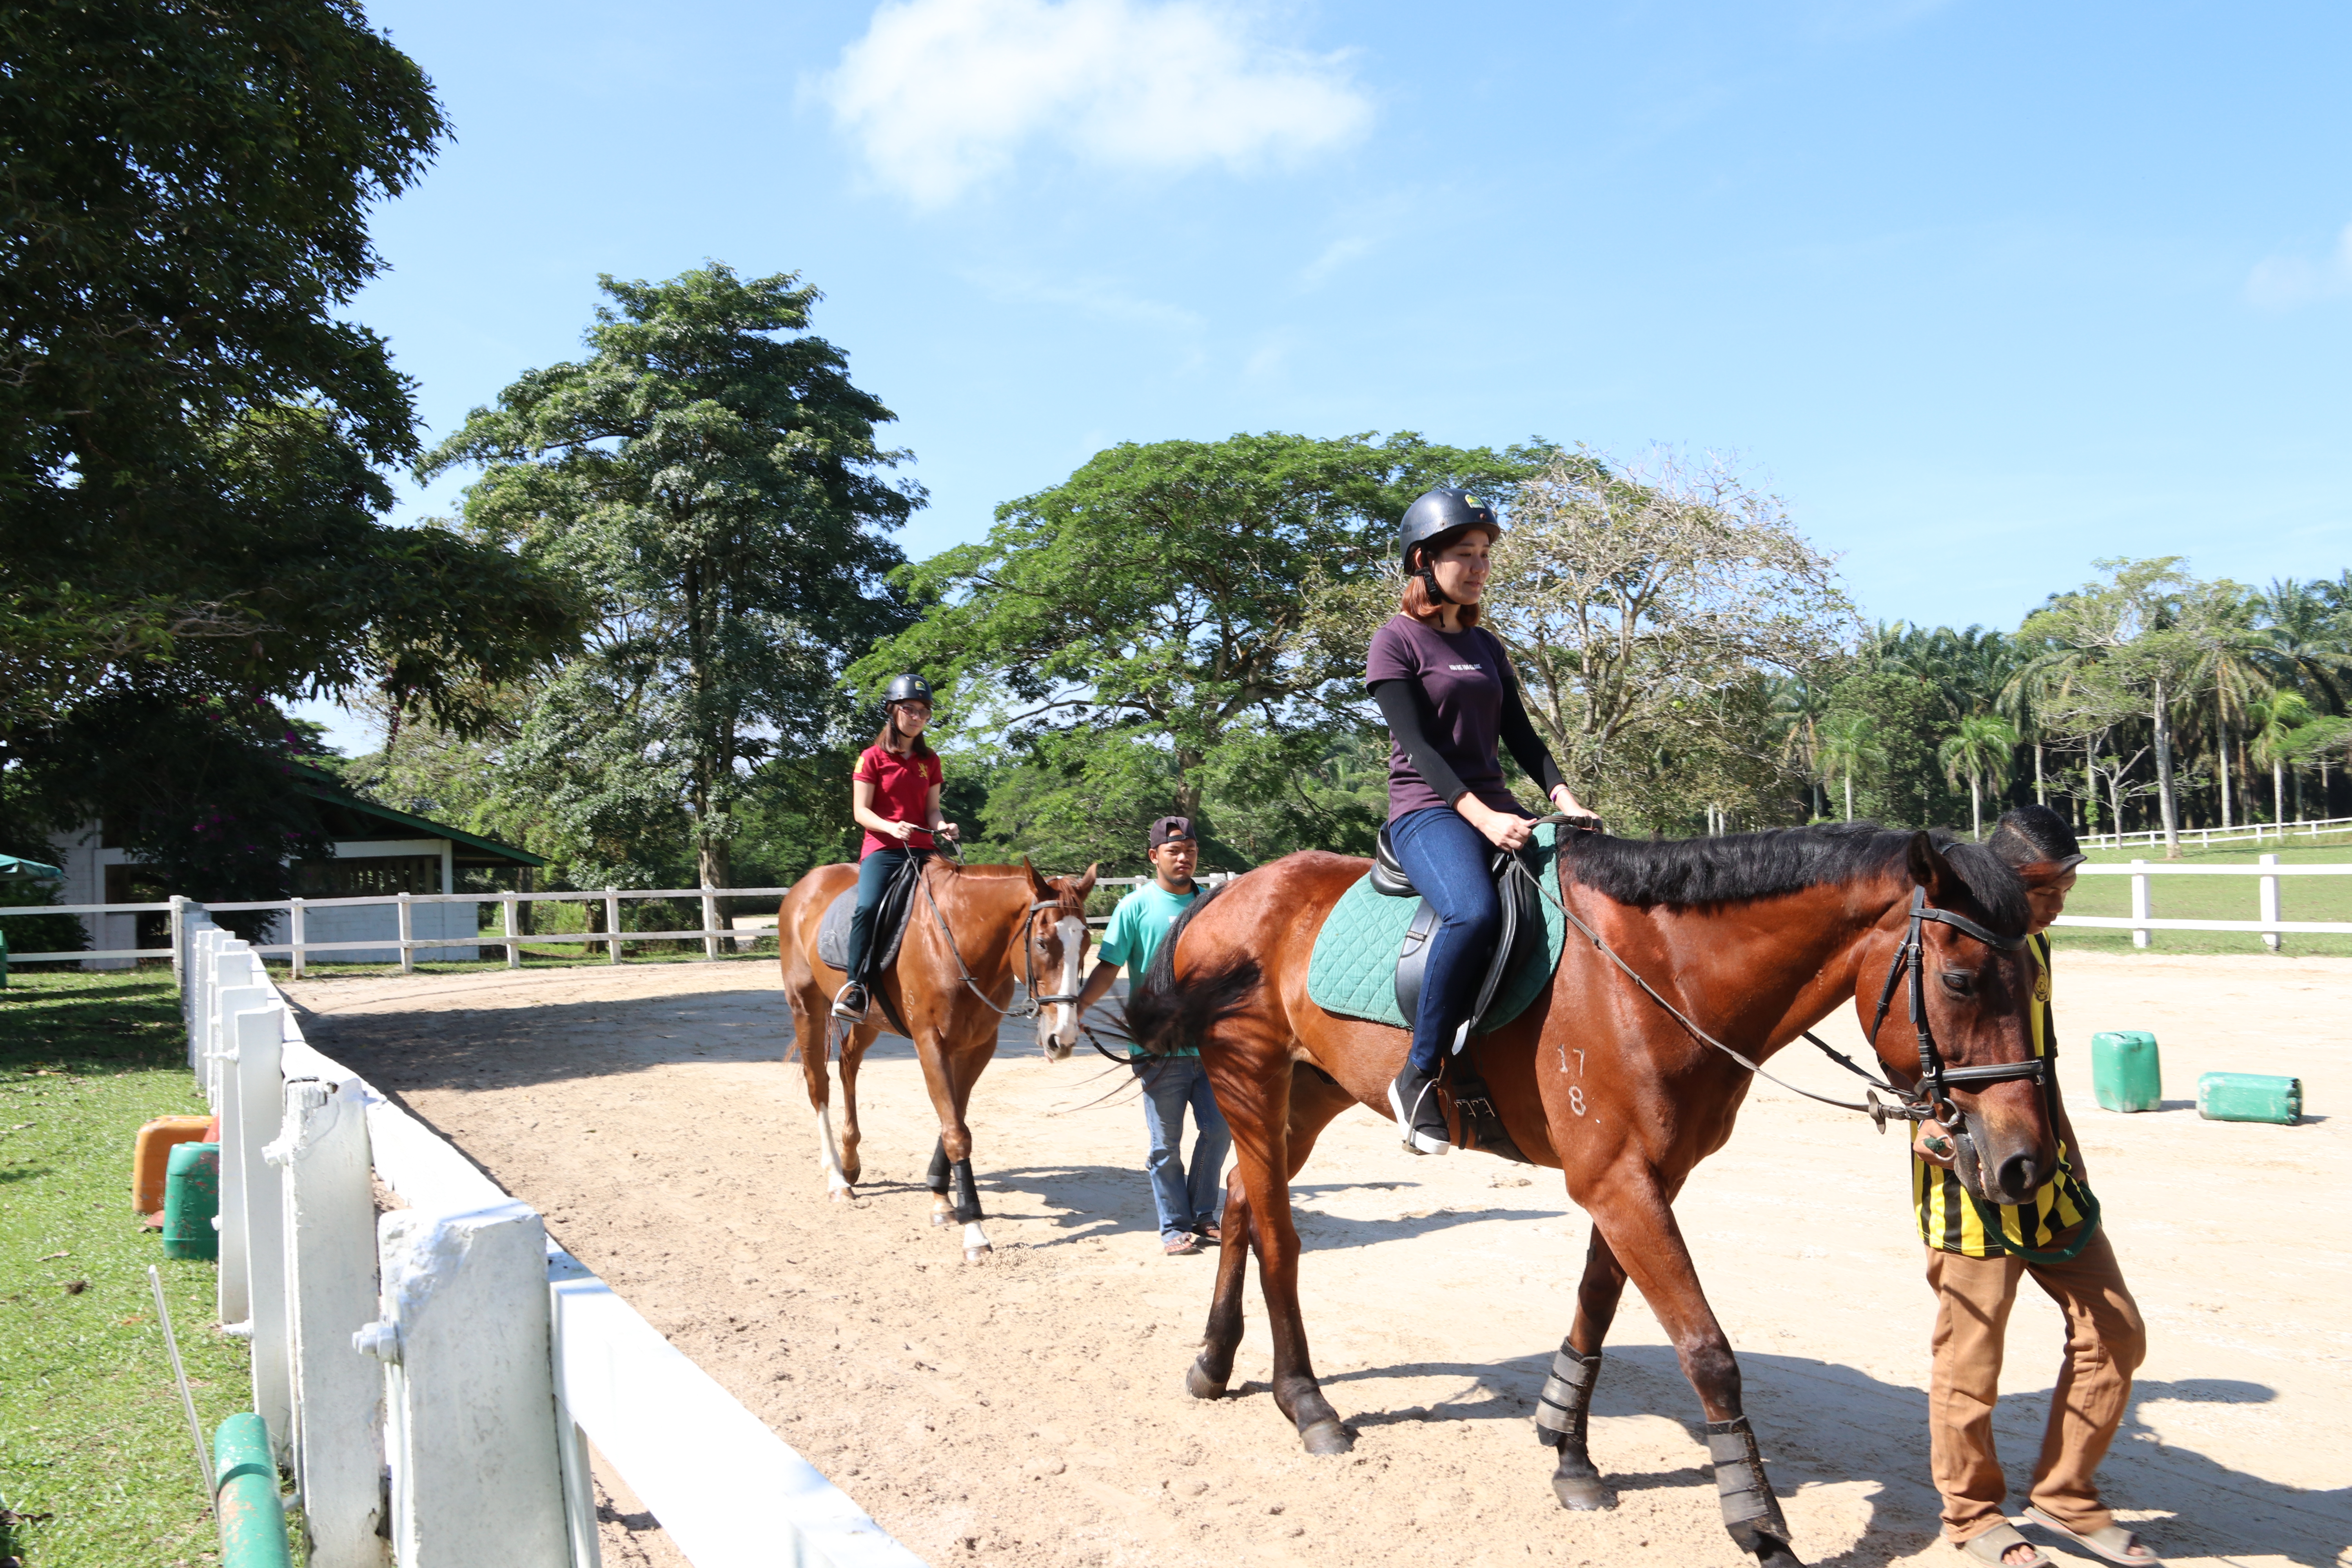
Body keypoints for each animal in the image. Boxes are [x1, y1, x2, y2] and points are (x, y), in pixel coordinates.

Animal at [777, 855, 1098, 1260]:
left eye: (1086, 943)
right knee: (818, 1084)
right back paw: (836, 1178)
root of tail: (807, 884)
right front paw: (974, 1230)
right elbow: (957, 1133)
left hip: (870, 1019)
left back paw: (851, 1161)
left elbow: (955, 1118)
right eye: (1042, 943)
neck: (959, 944)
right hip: (806, 1005)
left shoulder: (979, 1046)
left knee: (848, 1063)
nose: (1064, 1039)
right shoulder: (930, 1042)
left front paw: (942, 1199)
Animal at [1127, 823, 2065, 1566]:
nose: (2025, 1164)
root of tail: (1221, 896)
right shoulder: (1618, 1180)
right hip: (1248, 1074)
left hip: (1309, 1092)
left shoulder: (1644, 1178)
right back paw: (1307, 1402)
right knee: (1278, 1233)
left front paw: (1569, 1451)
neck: (1659, 972)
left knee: (1242, 1200)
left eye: (2035, 983)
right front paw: (1759, 1524)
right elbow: (1707, 1350)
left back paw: (1214, 1363)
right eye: (1962, 982)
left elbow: (1598, 1304)